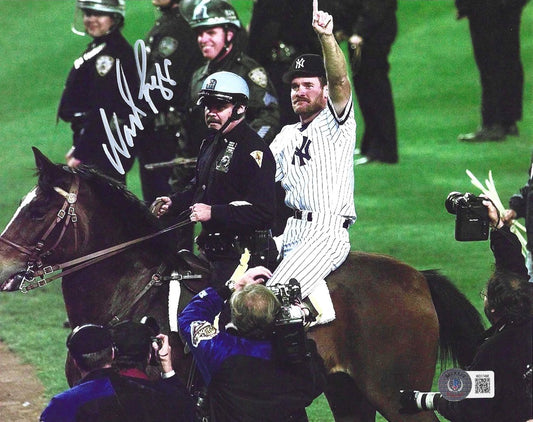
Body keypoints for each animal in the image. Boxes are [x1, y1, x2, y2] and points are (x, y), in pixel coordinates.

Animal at [0, 148, 484, 418]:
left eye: (38, 210)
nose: (3, 263)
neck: (129, 294)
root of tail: (418, 278)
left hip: (397, 396)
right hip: (348, 395)